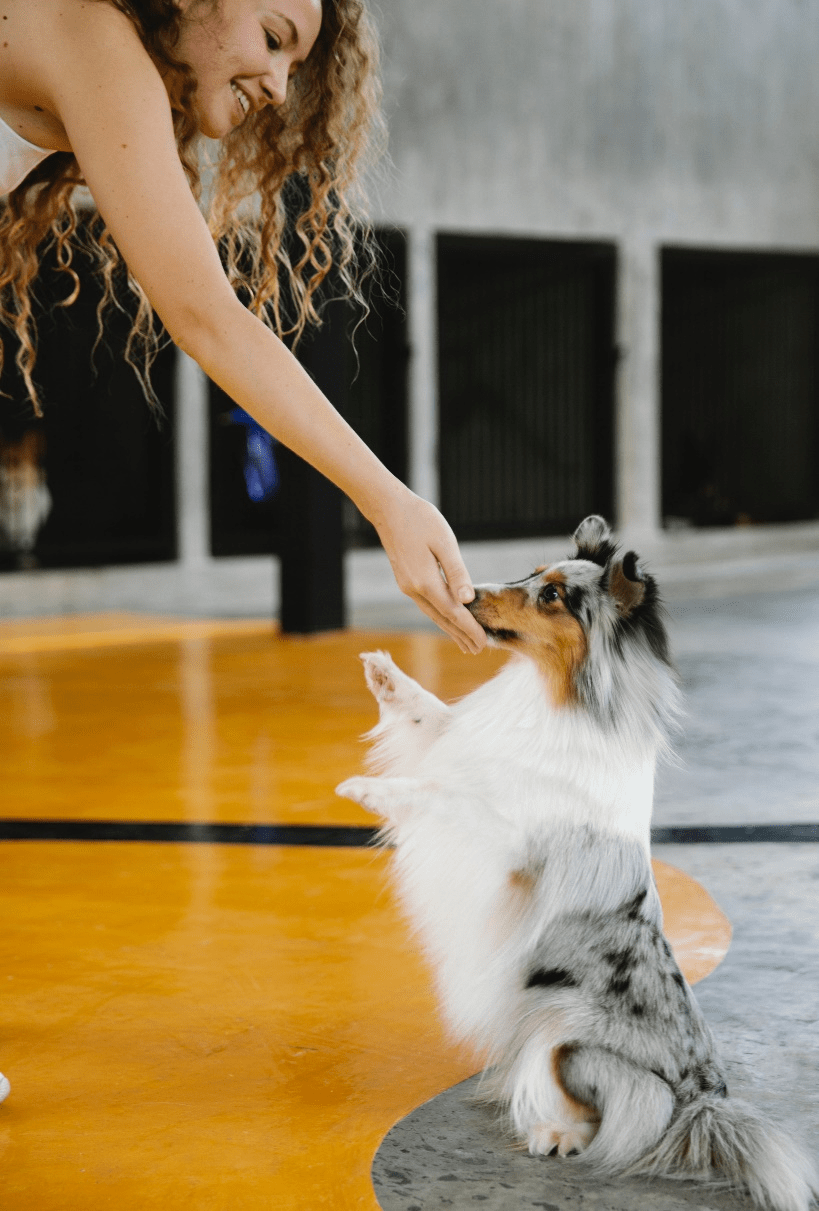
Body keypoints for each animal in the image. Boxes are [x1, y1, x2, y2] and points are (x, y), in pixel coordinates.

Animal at [336, 515, 814, 1211]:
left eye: (554, 597)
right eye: (532, 573)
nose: (467, 594)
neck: (553, 697)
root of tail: (704, 1099)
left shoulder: (503, 837)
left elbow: (442, 797)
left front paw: (368, 790)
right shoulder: (460, 744)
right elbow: (431, 718)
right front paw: (383, 672)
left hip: (567, 1032)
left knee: (613, 1114)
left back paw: (554, 1133)